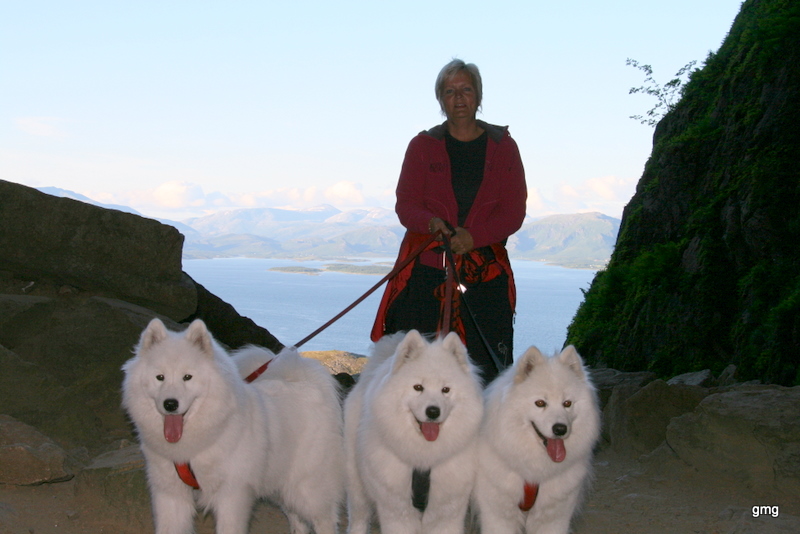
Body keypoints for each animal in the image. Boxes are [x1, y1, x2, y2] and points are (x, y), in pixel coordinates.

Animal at [121, 318, 344, 534]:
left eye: (187, 377)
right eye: (160, 377)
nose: (170, 404)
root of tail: (307, 383)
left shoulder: (231, 495)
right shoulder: (169, 493)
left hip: (307, 487)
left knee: (324, 520)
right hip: (281, 484)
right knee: (297, 518)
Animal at [343, 330, 484, 534]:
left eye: (445, 390)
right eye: (418, 387)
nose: (433, 411)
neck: (424, 460)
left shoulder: (447, 511)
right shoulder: (396, 511)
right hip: (357, 484)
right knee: (358, 517)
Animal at [474, 345, 600, 534]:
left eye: (567, 403)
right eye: (540, 403)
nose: (560, 429)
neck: (535, 472)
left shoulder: (555, 515)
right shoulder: (497, 514)